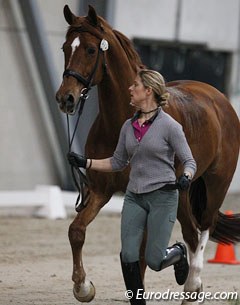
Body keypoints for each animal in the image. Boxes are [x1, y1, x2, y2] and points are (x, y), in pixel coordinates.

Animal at [55, 5, 240, 304]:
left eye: (92, 50)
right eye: (64, 48)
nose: (65, 98)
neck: (123, 119)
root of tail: (217, 97)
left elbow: (143, 252)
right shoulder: (101, 190)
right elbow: (77, 231)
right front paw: (83, 287)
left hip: (214, 185)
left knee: (201, 229)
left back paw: (193, 284)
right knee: (185, 234)